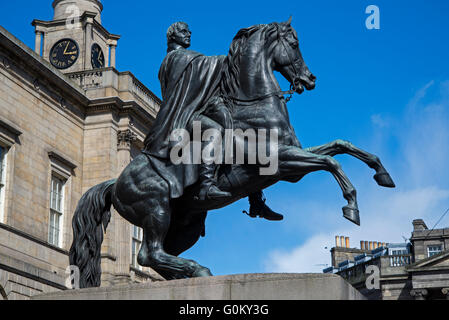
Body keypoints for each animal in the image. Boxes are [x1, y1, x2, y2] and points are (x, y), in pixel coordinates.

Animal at [68, 19, 394, 288]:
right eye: (294, 43)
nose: (310, 78)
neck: (255, 106)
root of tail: (115, 183)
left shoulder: (292, 159)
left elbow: (342, 145)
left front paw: (382, 173)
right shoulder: (284, 162)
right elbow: (331, 161)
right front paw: (351, 204)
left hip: (183, 225)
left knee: (159, 256)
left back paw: (193, 273)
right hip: (155, 208)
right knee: (149, 254)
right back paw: (198, 268)